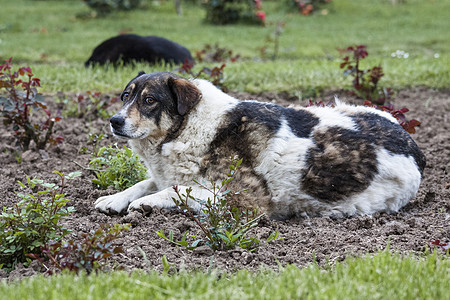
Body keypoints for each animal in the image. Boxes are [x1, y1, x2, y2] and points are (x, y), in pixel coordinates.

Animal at [95, 71, 426, 219]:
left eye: (150, 100)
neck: (191, 126)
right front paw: (115, 198)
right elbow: (147, 182)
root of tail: (414, 147)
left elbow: (177, 190)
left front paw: (146, 203)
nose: (114, 121)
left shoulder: (244, 199)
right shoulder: (167, 173)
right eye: (126, 96)